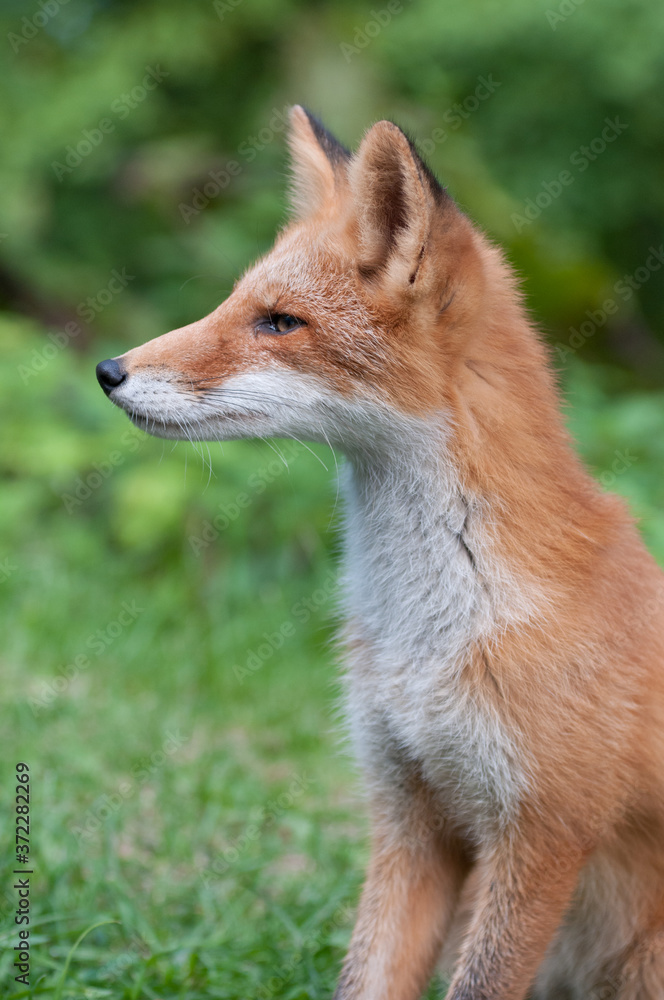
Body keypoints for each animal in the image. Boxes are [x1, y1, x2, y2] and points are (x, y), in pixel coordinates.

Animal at [97, 109, 664, 1000]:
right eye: (233, 302)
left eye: (278, 321)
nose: (108, 370)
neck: (427, 632)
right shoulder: (409, 816)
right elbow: (368, 977)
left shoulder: (541, 834)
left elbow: (480, 984)